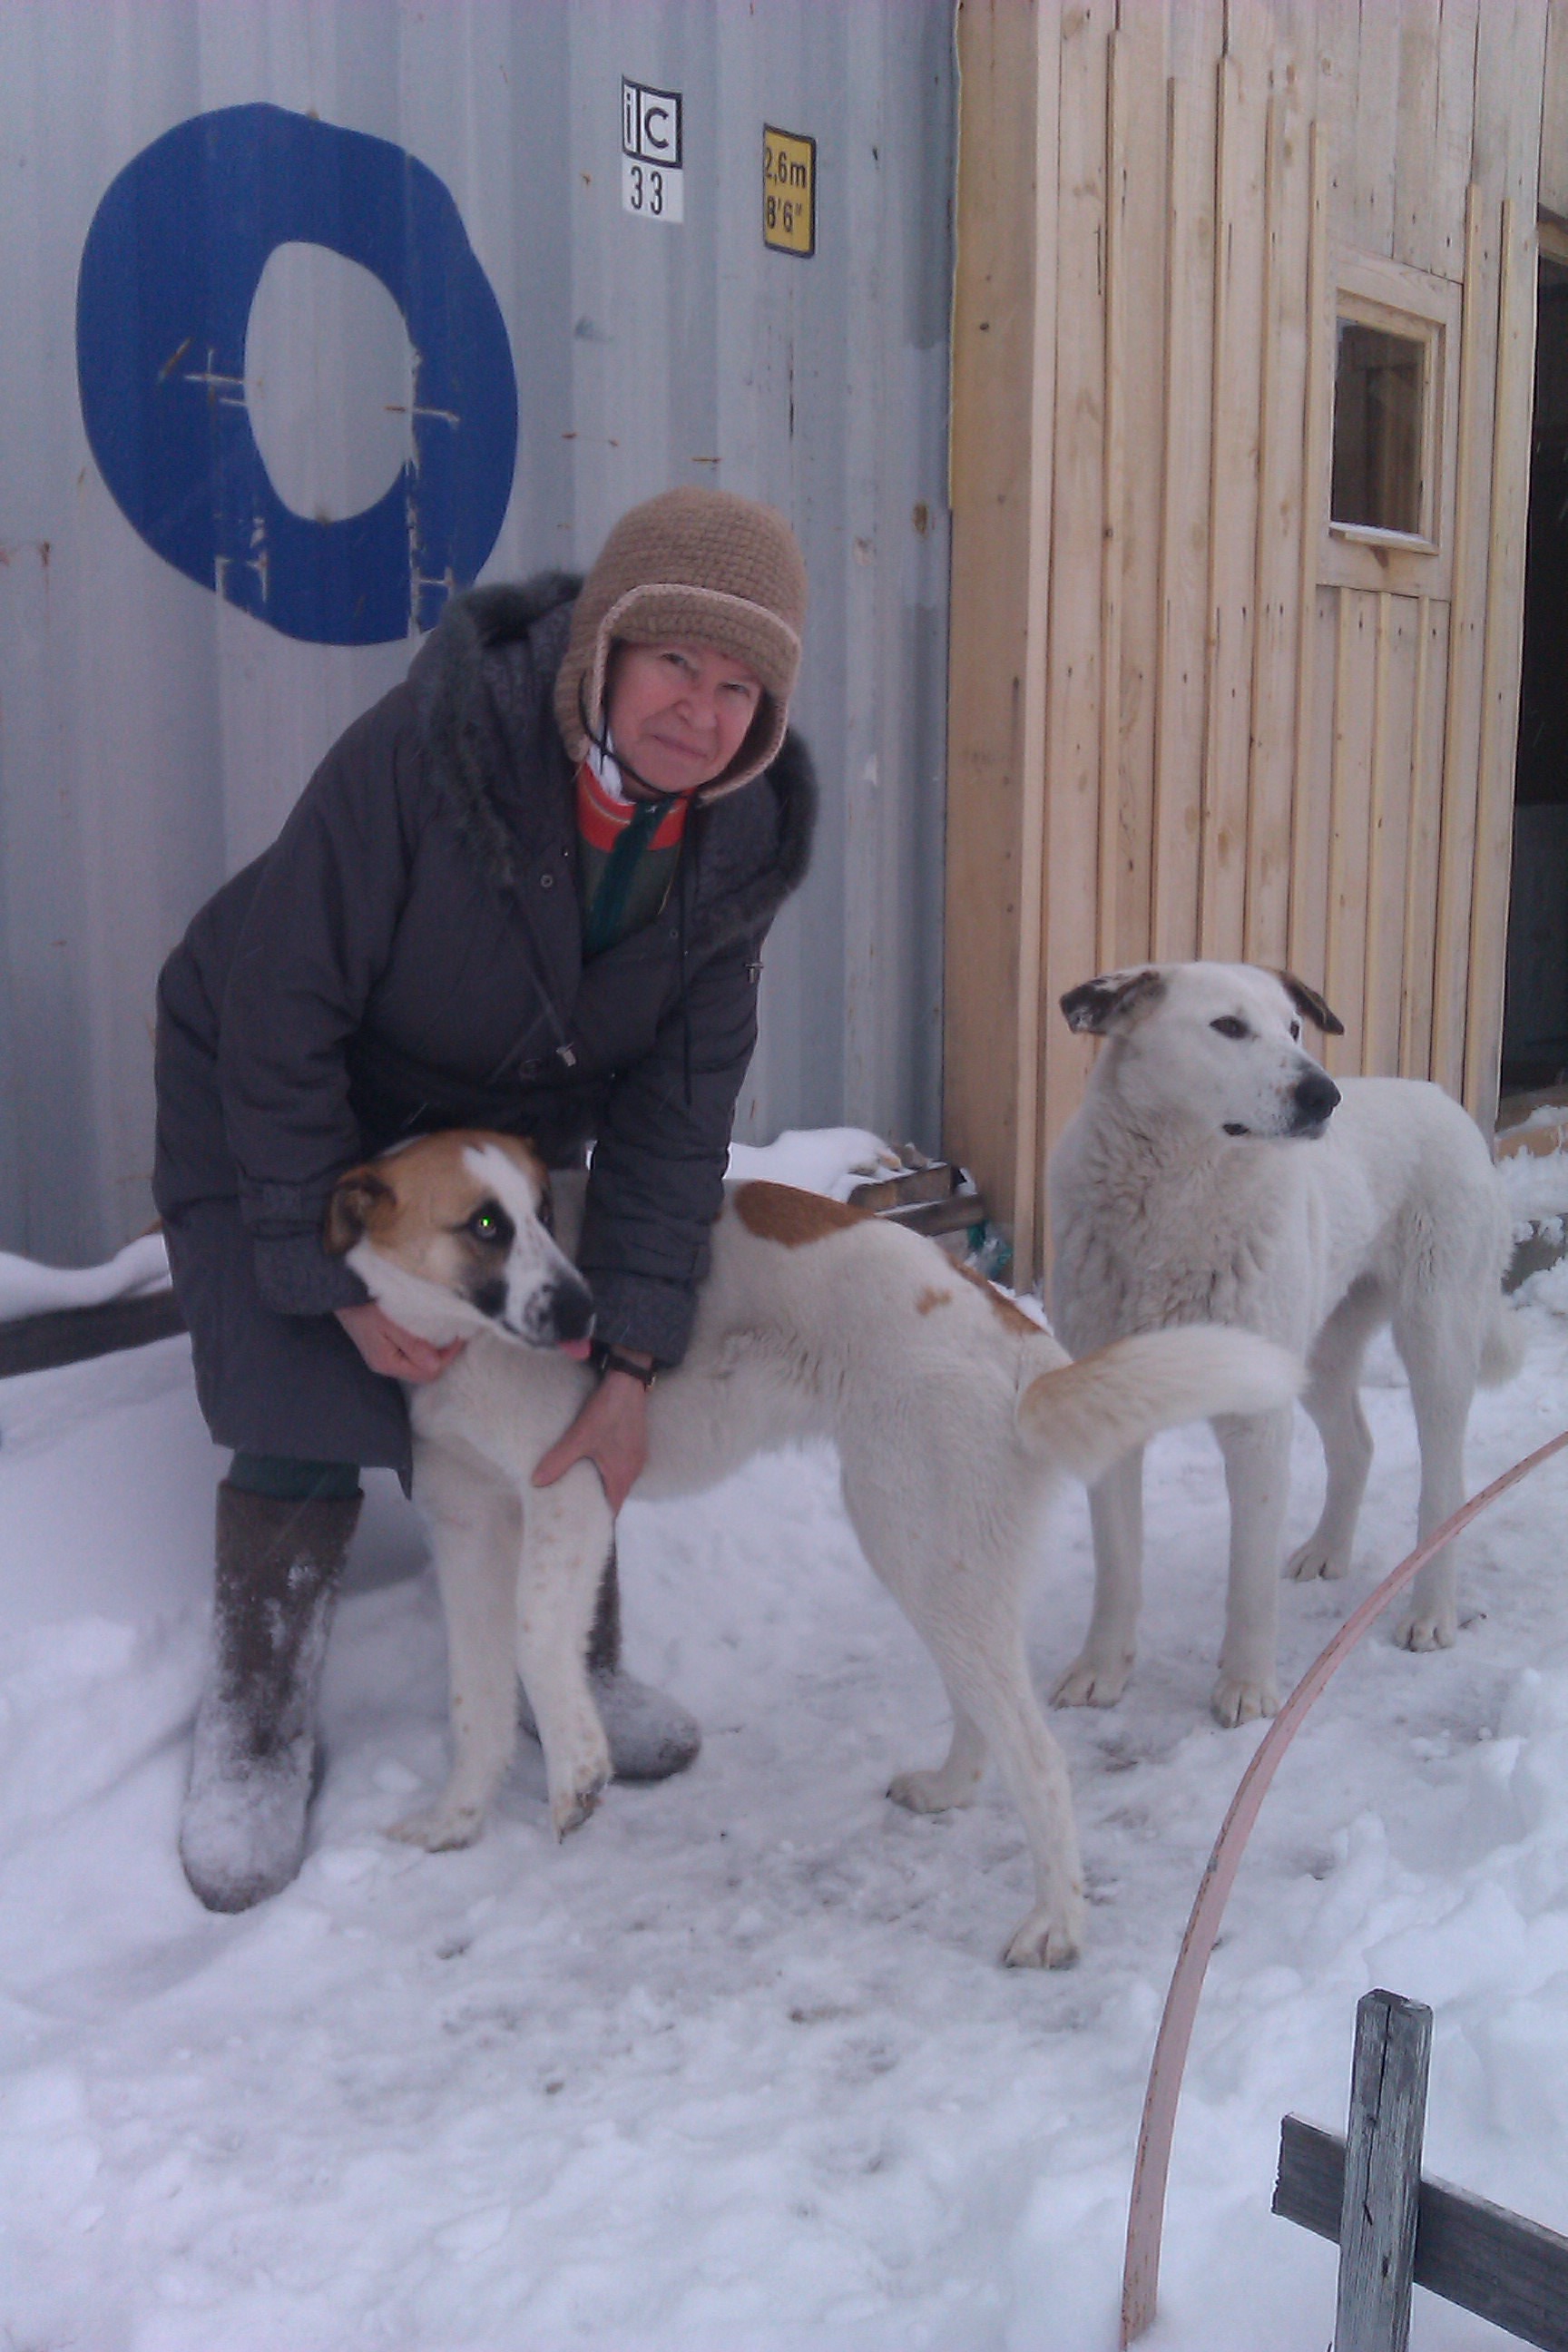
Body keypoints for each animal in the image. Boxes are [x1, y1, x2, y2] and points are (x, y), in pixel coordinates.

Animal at [321, 1133, 1298, 1965]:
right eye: (485, 1225)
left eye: (538, 1215)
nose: (587, 1312)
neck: (460, 1341)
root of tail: (1024, 1344)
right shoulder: (465, 1524)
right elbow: (475, 1698)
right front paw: (457, 1820)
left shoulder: (572, 1492)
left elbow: (532, 1642)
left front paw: (580, 1769)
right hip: (932, 1556)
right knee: (986, 1710)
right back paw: (951, 1789)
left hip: (913, 1542)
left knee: (1041, 1757)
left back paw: (1056, 1921)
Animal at [1048, 955, 1523, 1730]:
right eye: (1228, 1027)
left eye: (1295, 1028)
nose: (1323, 1094)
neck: (1178, 1208)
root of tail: (1437, 1096)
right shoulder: (1109, 1413)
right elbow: (1117, 1567)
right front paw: (1101, 1672)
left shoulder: (1257, 1425)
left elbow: (1247, 1579)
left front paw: (1246, 1690)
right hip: (1321, 1354)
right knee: (1356, 1444)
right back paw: (1328, 1551)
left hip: (1438, 1338)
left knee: (1445, 1486)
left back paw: (1430, 1612)